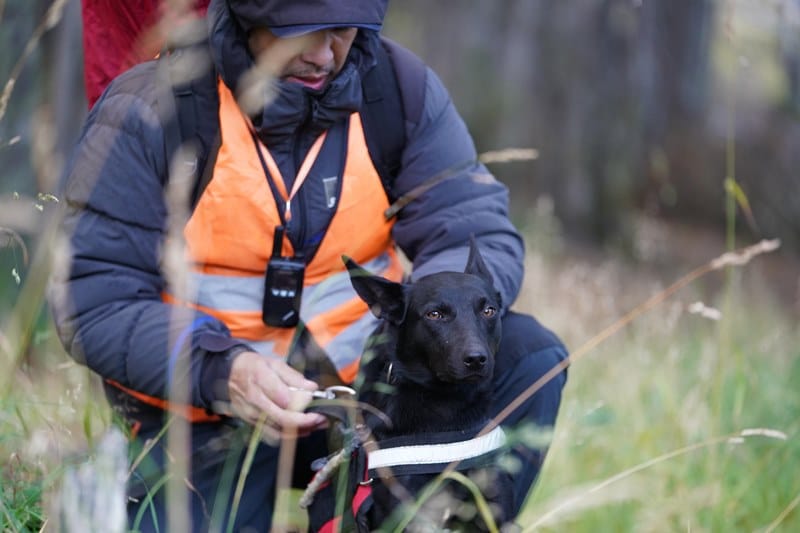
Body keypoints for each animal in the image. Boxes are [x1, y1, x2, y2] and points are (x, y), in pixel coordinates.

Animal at [346, 239, 516, 528]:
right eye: (434, 314)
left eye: (488, 310)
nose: (476, 359)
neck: (446, 408)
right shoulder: (409, 514)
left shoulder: (494, 511)